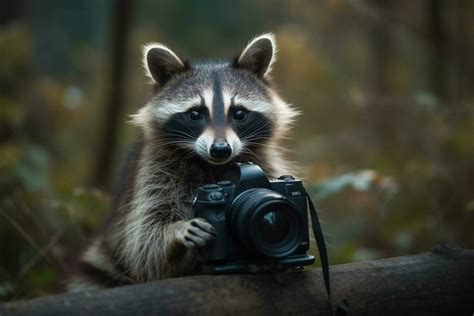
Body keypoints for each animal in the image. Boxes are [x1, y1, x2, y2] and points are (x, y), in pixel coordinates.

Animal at [67, 34, 300, 292]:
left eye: (239, 113)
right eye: (195, 114)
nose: (221, 149)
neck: (214, 165)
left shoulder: (265, 162)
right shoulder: (154, 171)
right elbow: (145, 243)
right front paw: (175, 232)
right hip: (100, 263)